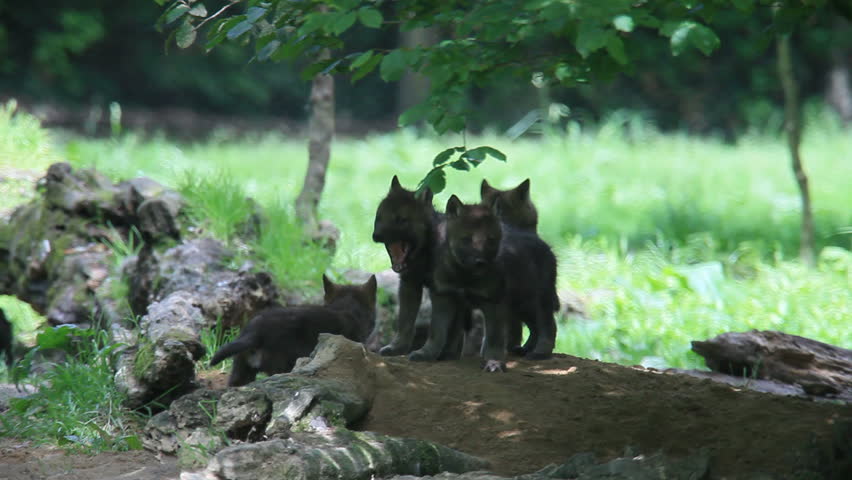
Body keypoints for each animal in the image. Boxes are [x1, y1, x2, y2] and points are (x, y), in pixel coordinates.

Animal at [372, 176, 470, 361]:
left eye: (401, 220)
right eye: (378, 218)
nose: (376, 236)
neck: (425, 255)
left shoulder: (440, 293)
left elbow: (436, 329)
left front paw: (426, 353)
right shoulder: (409, 286)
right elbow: (405, 323)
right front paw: (397, 348)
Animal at [434, 195, 559, 371]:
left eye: (490, 240)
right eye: (466, 240)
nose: (480, 262)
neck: (466, 276)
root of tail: (546, 246)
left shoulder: (494, 304)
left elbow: (493, 339)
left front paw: (493, 363)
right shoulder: (458, 301)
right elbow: (453, 337)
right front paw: (447, 357)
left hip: (536, 303)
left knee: (548, 326)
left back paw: (539, 354)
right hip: (520, 306)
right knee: (535, 328)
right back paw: (524, 350)